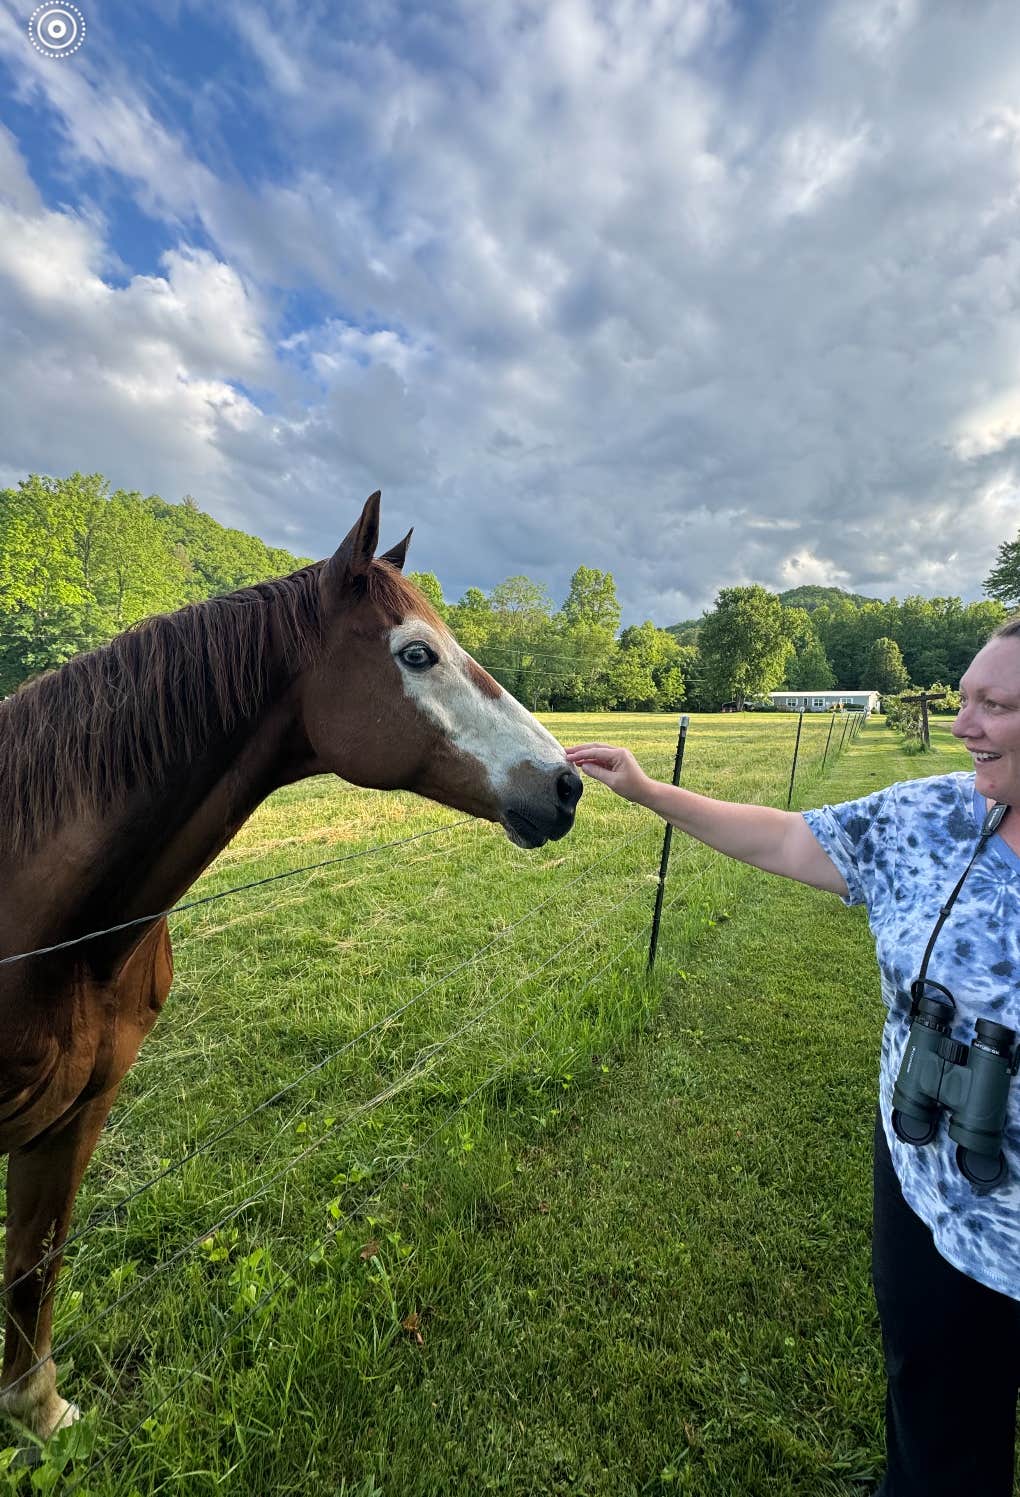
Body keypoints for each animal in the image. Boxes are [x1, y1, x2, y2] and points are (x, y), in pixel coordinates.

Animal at [0, 494, 581, 1437]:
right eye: (416, 653)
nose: (566, 784)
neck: (55, 937)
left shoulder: (78, 1112)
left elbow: (34, 1266)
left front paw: (38, 1410)